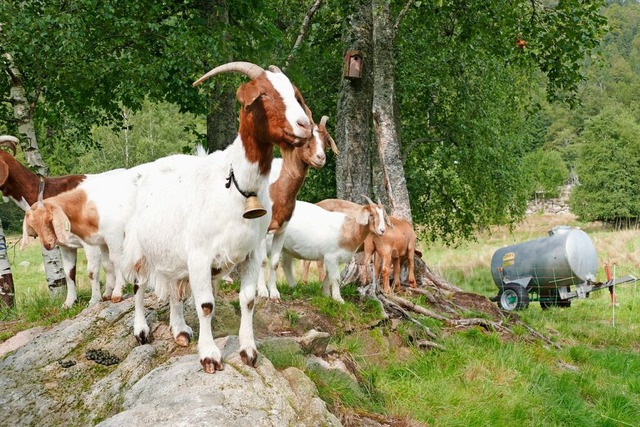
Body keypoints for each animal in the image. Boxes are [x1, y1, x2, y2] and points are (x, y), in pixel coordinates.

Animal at [0, 135, 106, 306]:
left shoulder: (91, 241)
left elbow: (92, 271)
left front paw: (95, 300)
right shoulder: (66, 245)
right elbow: (69, 274)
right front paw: (69, 302)